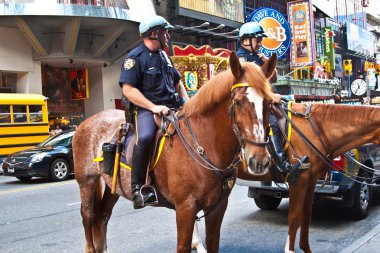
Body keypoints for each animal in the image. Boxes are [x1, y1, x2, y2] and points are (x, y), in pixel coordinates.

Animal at [73, 52, 276, 253]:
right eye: (238, 102)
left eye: (269, 103)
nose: (260, 160)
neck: (205, 144)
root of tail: (86, 122)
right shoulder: (185, 208)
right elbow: (183, 245)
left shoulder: (217, 207)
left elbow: (213, 243)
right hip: (87, 181)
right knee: (88, 215)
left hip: (113, 185)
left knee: (102, 215)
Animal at [238, 102, 380, 252]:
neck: (319, 130)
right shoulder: (299, 182)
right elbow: (294, 218)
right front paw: (290, 249)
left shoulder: (311, 181)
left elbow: (306, 216)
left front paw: (305, 247)